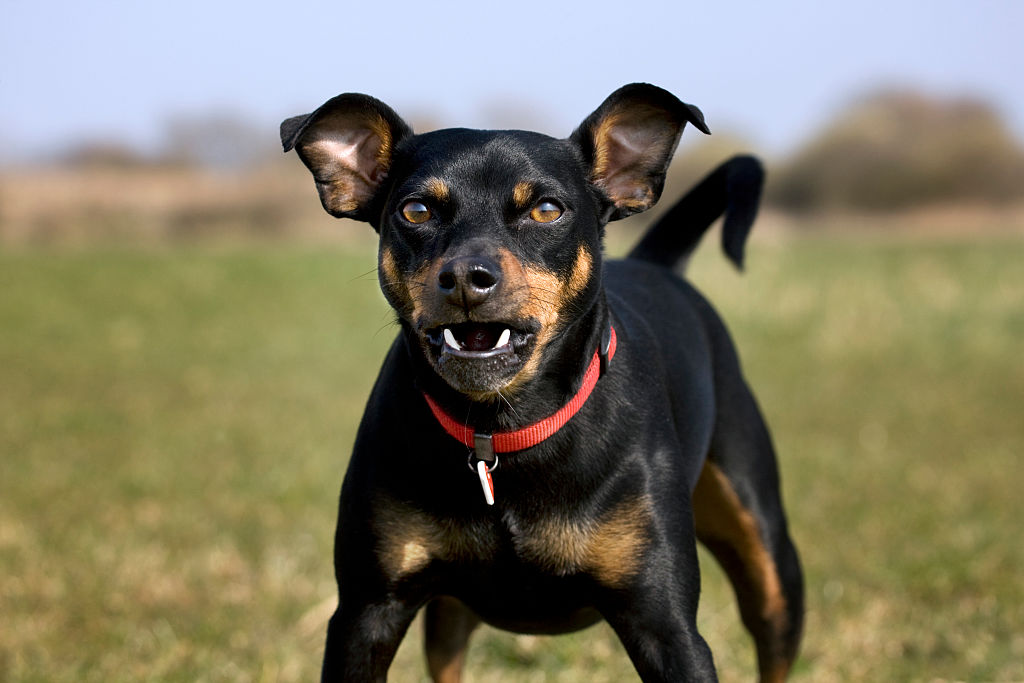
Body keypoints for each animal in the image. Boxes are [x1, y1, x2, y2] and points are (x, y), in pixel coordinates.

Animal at [284, 85, 802, 683]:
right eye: (415, 210)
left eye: (546, 209)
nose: (466, 277)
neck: (501, 429)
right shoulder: (367, 612)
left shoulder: (666, 625)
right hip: (448, 614)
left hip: (770, 562)